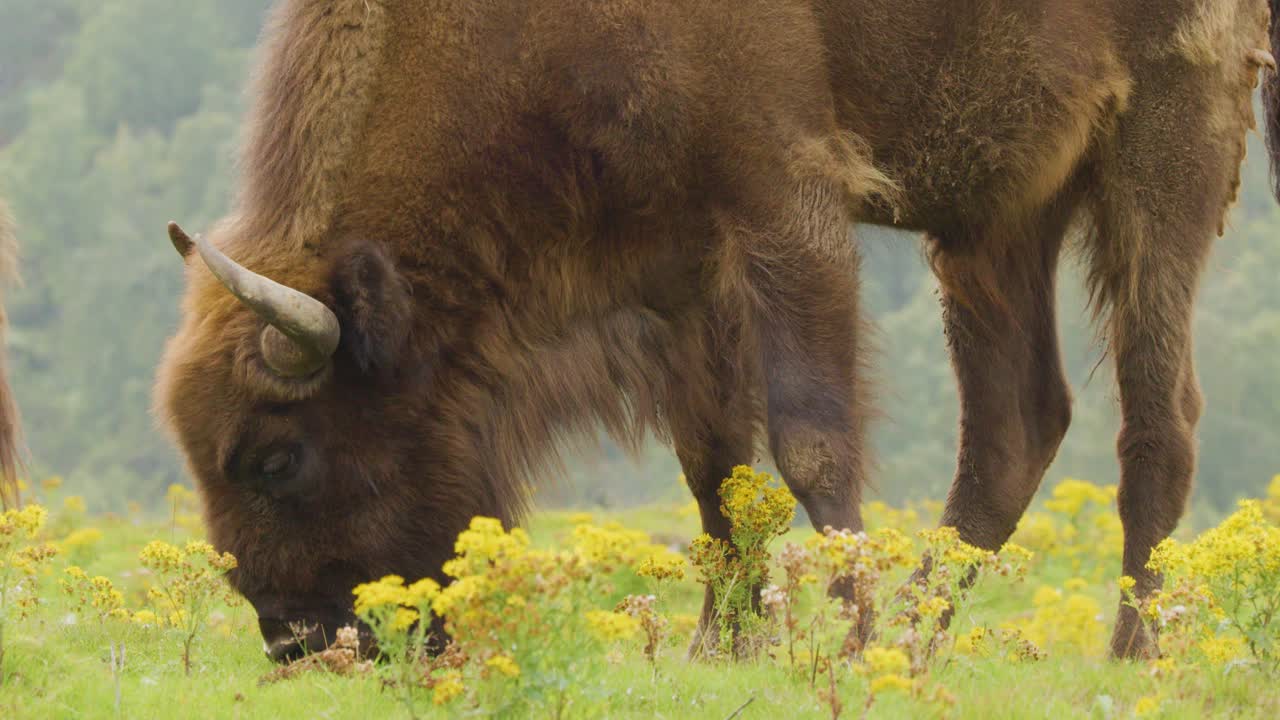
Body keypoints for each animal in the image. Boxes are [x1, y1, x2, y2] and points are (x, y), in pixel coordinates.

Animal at [155, 0, 1280, 662]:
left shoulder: (786, 199)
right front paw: (721, 649)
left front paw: (837, 641)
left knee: (1159, 420)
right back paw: (917, 644)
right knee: (1014, 427)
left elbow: (808, 442)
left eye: (276, 457)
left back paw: (1131, 650)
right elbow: (713, 468)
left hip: (1167, 138)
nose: (292, 639)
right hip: (997, 211)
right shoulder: (683, 264)